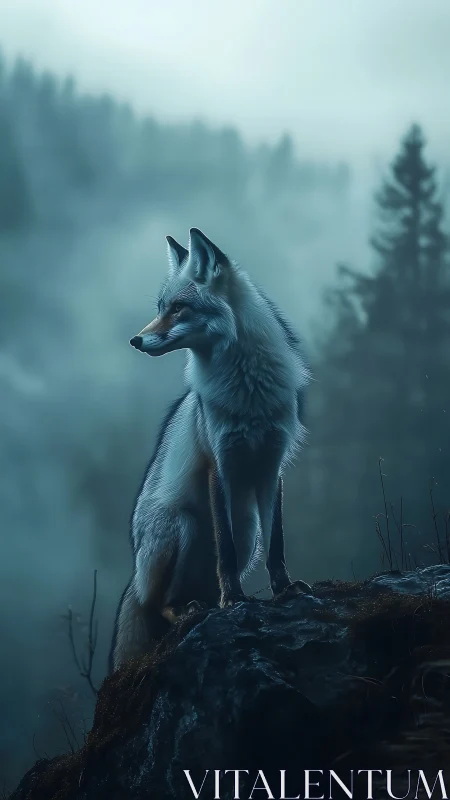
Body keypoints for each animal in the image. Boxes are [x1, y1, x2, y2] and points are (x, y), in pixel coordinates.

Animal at [110, 228, 312, 671]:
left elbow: (277, 544)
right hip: (182, 526)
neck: (247, 390)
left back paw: (202, 603)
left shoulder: (272, 464)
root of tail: (134, 576)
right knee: (160, 604)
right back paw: (190, 610)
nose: (135, 340)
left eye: (178, 309)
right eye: (160, 308)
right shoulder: (219, 463)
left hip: (248, 526)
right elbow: (226, 550)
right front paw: (233, 599)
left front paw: (284, 590)